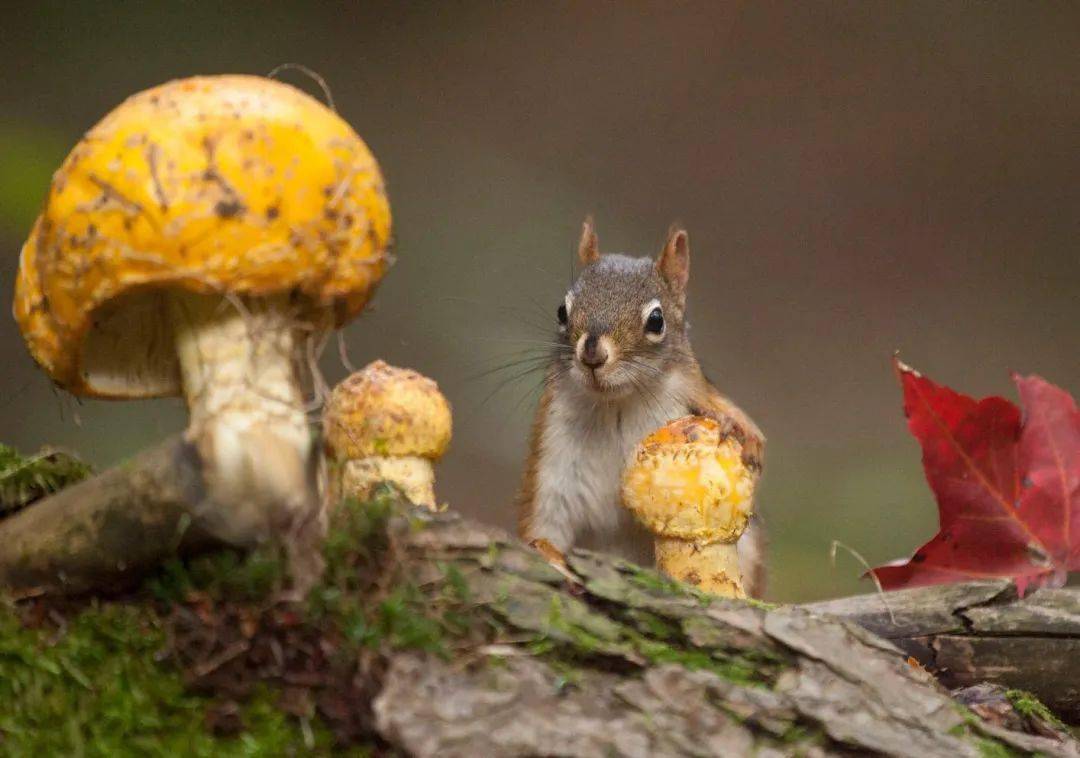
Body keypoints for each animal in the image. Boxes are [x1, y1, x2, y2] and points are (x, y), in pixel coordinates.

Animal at [516, 220, 764, 600]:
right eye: (562, 311)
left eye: (656, 320)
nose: (592, 353)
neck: (616, 406)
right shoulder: (551, 467)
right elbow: (543, 527)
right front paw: (547, 555)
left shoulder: (694, 390)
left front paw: (736, 427)